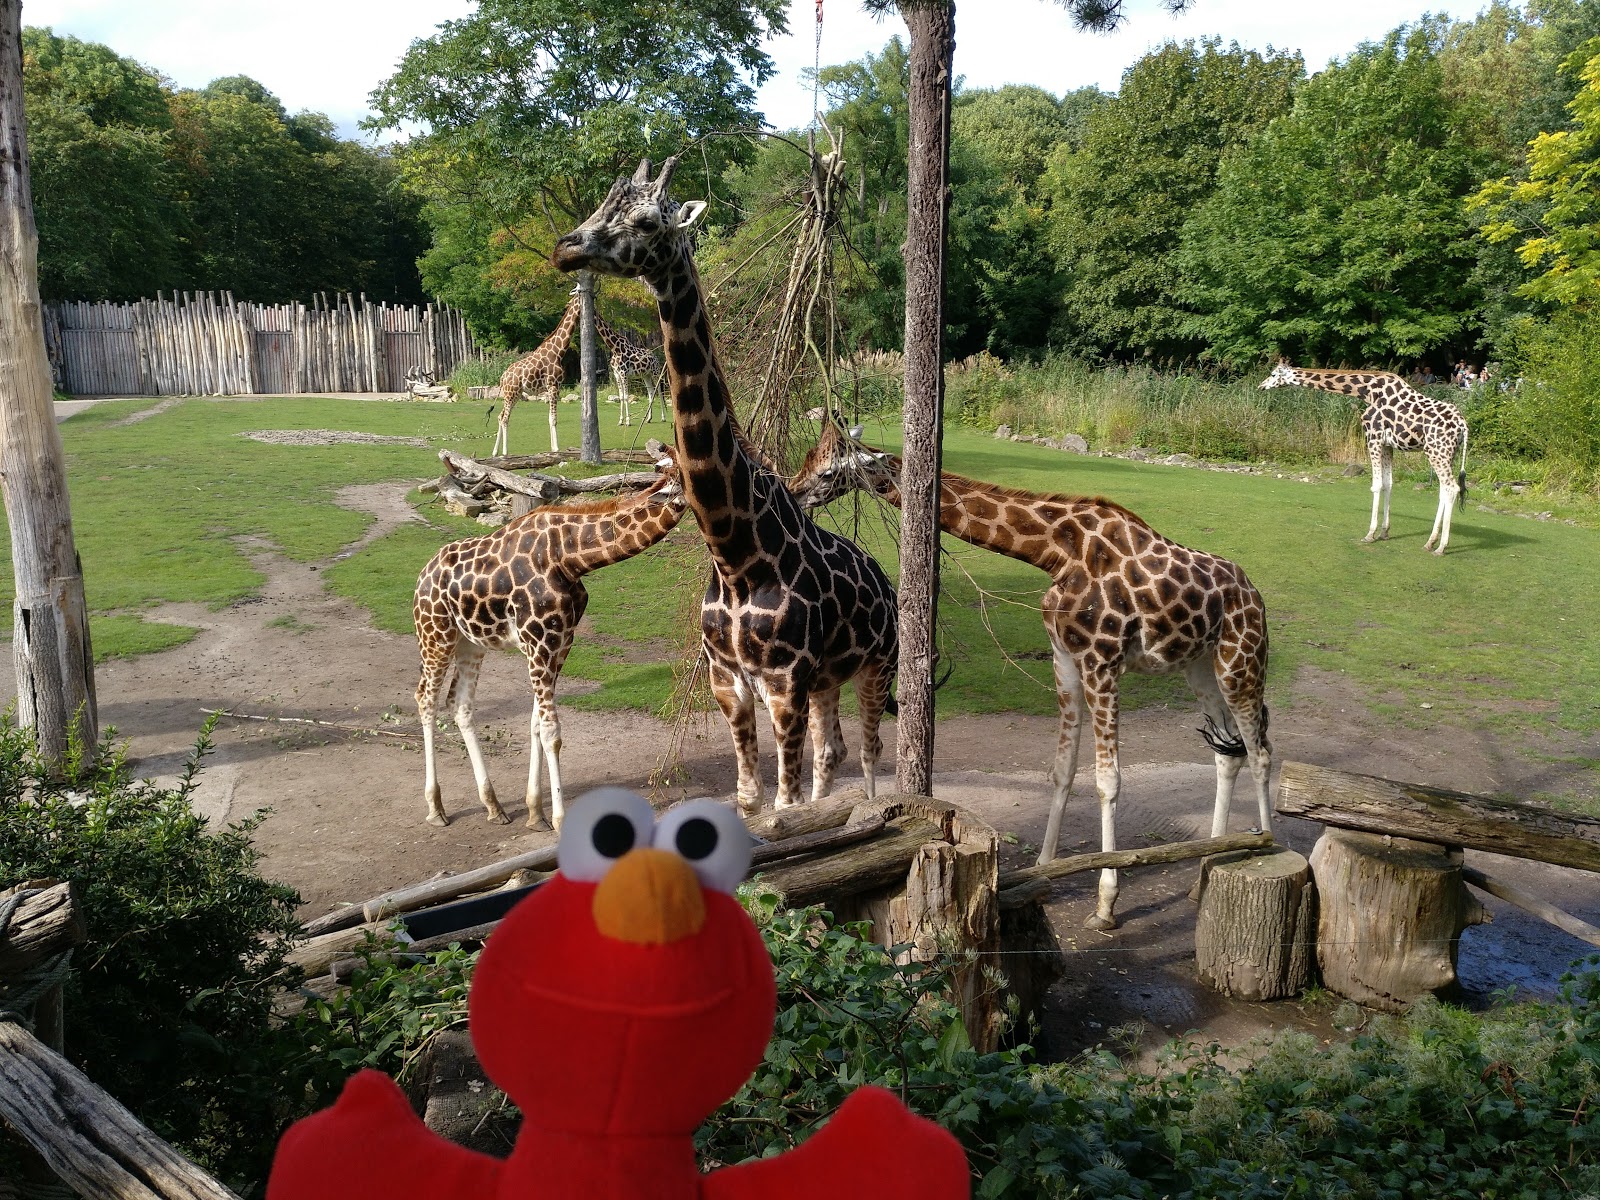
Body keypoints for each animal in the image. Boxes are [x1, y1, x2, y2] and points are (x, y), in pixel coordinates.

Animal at [412, 443, 686, 831]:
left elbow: (535, 725)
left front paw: (534, 812)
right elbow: (551, 731)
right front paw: (558, 817)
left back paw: (494, 805)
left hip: (471, 642)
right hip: (435, 634)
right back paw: (436, 808)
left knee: (460, 704)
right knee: (425, 698)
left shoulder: (561, 642)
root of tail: (421, 577)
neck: (570, 557)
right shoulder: (539, 642)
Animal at [494, 293, 581, 457]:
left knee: (500, 416)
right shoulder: (554, 385)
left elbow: (549, 417)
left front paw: (552, 448)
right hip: (511, 393)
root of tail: (503, 377)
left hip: (514, 394)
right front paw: (556, 449)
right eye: (578, 295)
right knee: (505, 418)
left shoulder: (550, 388)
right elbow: (553, 419)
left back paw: (495, 452)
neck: (558, 351)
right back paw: (505, 452)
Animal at [551, 157, 900, 814]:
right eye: (600, 205)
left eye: (645, 220)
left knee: (868, 753)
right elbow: (750, 798)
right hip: (828, 678)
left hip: (877, 663)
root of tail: (887, 584)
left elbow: (784, 803)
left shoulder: (784, 681)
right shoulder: (729, 680)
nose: (567, 247)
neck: (736, 551)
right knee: (832, 752)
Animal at [791, 422, 1272, 930]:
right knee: (1229, 753)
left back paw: (1263, 844)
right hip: (1201, 668)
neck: (1056, 552)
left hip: (1241, 660)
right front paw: (1044, 867)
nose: (794, 490)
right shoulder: (1066, 659)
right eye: (811, 459)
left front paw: (1106, 902)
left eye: (827, 471)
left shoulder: (1102, 660)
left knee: (1260, 752)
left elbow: (1108, 781)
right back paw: (1209, 866)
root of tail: (1255, 595)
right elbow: (1061, 770)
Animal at [1259, 361, 1470, 554]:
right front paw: (1384, 532)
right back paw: (1430, 542)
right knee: (1444, 489)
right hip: (1447, 454)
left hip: (1437, 451)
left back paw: (1441, 547)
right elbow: (1388, 484)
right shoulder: (1387, 444)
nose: (1261, 386)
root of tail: (1463, 426)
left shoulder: (1373, 437)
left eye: (1273, 374)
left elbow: (1376, 485)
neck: (1366, 392)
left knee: (1451, 488)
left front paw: (1370, 534)